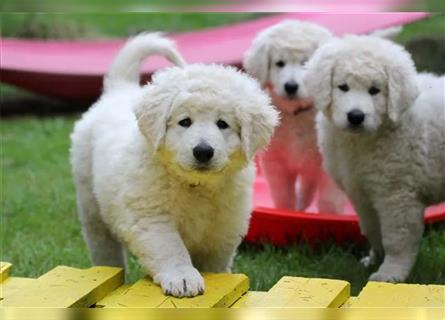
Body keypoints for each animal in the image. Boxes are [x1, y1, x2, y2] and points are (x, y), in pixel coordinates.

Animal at [69, 33, 278, 296]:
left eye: (222, 124)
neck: (194, 185)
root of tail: (119, 90)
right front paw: (183, 278)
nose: (203, 151)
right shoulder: (153, 217)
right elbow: (170, 249)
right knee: (104, 246)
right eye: (184, 122)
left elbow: (216, 264)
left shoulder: (223, 229)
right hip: (91, 204)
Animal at [243, 21, 344, 214]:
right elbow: (284, 197)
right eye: (279, 63)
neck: (297, 115)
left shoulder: (328, 163)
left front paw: (330, 216)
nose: (290, 86)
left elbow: (329, 201)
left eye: (305, 63)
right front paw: (287, 211)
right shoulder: (276, 162)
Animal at [304, 33, 444, 282]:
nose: (356, 116)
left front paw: (390, 274)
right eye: (343, 87)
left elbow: (397, 238)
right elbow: (371, 228)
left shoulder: (397, 194)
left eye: (375, 90)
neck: (359, 142)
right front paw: (373, 259)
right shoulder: (361, 192)